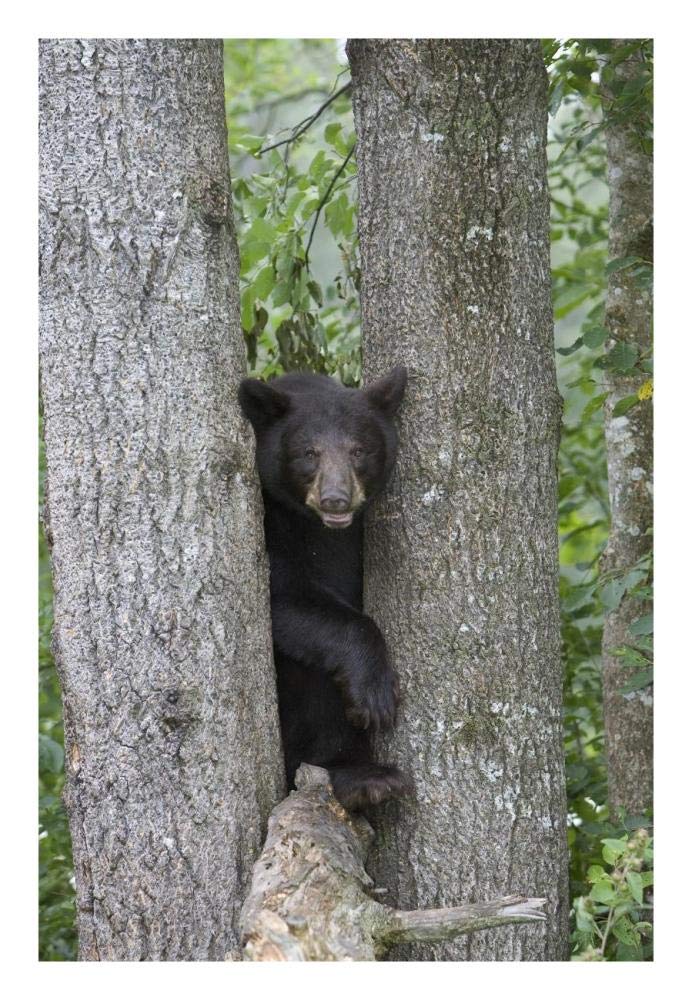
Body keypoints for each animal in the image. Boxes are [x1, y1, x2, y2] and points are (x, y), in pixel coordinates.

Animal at [238, 367, 412, 810]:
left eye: (358, 451)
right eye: (309, 453)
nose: (336, 499)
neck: (320, 528)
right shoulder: (270, 523)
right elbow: (284, 595)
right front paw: (375, 692)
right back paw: (360, 777)